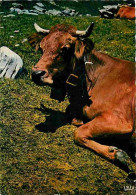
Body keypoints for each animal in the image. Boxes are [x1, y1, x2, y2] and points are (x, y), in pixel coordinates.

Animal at [29, 22, 135, 177]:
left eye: (65, 49)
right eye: (41, 48)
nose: (36, 74)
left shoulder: (119, 121)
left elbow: (78, 133)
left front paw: (116, 154)